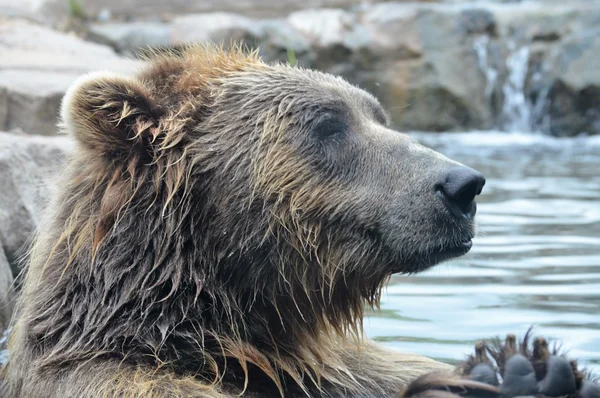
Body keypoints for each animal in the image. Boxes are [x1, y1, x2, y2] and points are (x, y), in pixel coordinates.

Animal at [0, 45, 592, 396]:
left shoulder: (345, 372)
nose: (462, 185)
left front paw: (532, 370)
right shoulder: (113, 375)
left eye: (377, 115)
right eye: (328, 124)